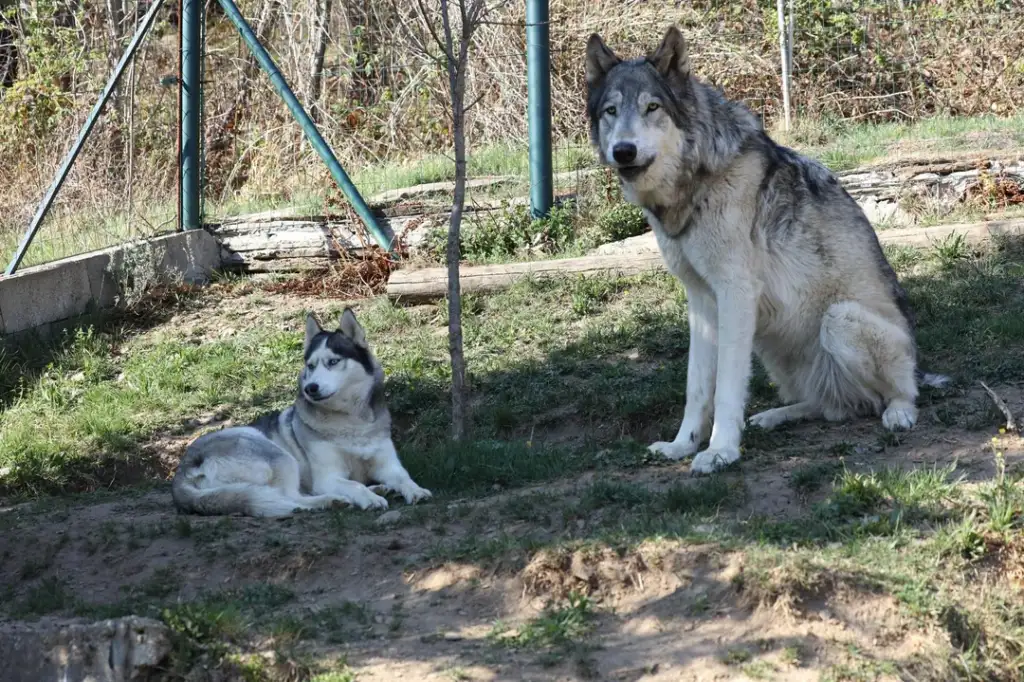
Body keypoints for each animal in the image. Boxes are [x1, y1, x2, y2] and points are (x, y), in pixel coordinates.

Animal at [174, 307, 430, 516]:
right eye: (311, 366)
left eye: (333, 362)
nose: (310, 388)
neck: (351, 421)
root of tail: (182, 470)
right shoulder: (326, 478)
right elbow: (353, 484)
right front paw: (368, 498)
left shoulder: (388, 465)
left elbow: (403, 477)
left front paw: (415, 490)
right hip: (276, 454)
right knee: (290, 497)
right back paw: (331, 501)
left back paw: (375, 488)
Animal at [585, 26, 950, 473]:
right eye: (611, 111)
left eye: (652, 107)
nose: (623, 150)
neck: (699, 181)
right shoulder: (701, 301)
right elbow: (696, 387)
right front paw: (682, 446)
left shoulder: (736, 294)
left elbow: (725, 389)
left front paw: (720, 451)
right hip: (771, 343)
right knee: (833, 407)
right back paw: (777, 415)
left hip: (839, 319)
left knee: (893, 396)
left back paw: (898, 413)